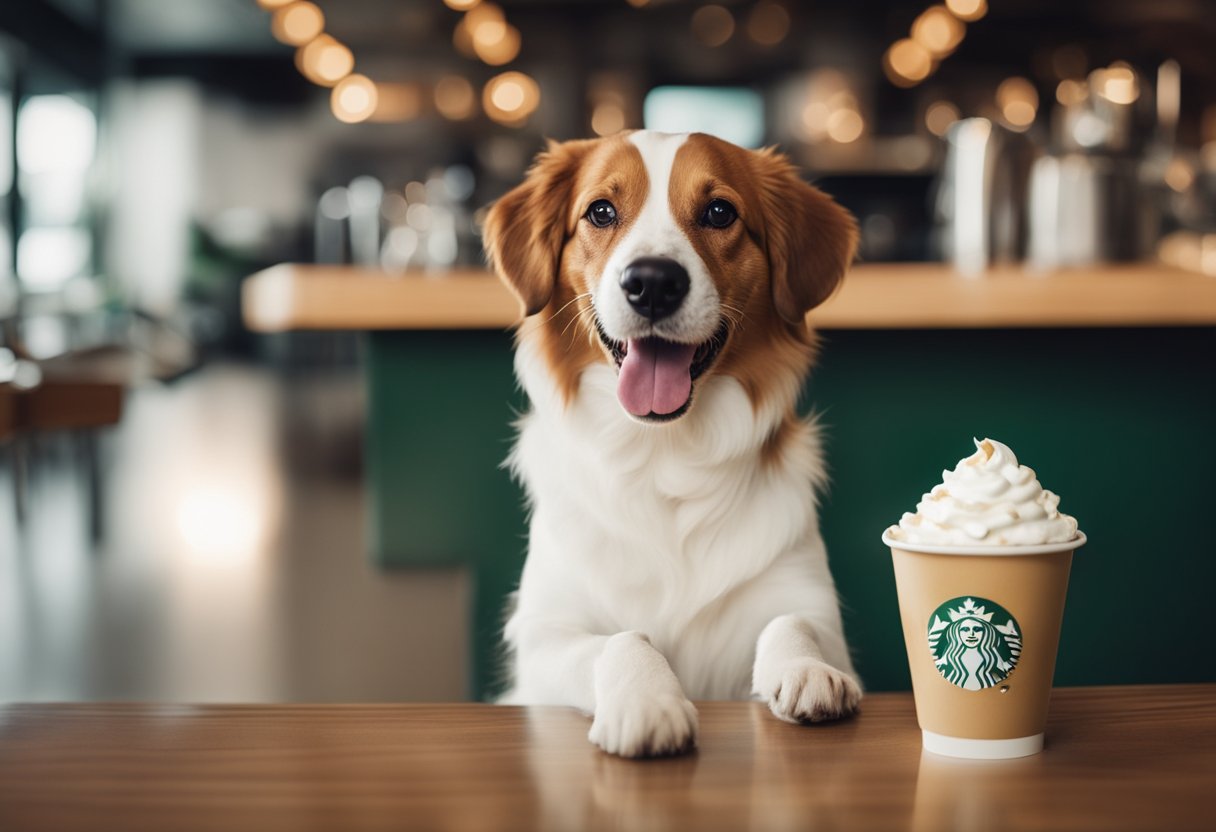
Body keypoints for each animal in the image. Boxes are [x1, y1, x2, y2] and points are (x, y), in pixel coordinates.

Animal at [479, 126, 860, 759]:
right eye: (601, 211)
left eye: (719, 212)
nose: (653, 282)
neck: (663, 454)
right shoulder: (544, 636)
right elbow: (621, 638)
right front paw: (647, 701)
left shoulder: (809, 600)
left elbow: (793, 623)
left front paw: (807, 670)